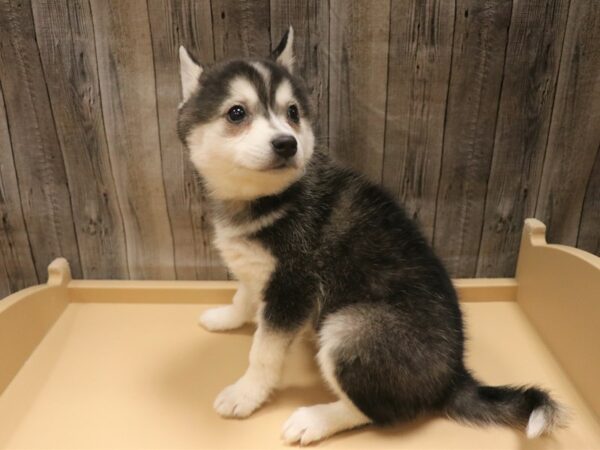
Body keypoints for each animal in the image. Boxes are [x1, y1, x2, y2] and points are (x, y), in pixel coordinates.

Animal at [177, 29, 564, 446]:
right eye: (236, 113)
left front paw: (246, 393)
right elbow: (244, 296)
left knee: (379, 411)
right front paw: (226, 318)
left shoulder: (293, 287)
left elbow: (263, 350)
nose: (286, 143)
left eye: (292, 113)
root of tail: (453, 377)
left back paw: (316, 419)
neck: (266, 197)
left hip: (350, 330)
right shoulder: (259, 272)